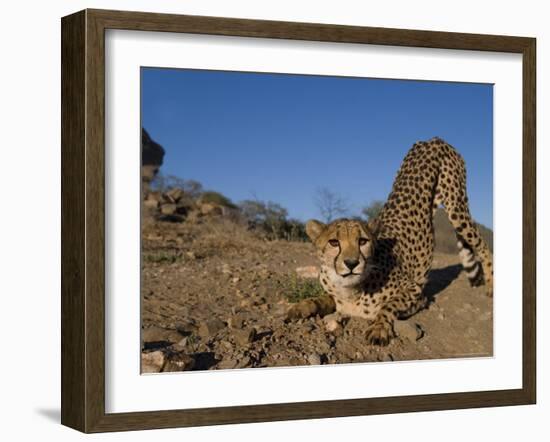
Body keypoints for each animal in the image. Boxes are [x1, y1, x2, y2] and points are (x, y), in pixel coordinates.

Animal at [288, 137, 496, 346]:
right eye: (334, 243)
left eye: (362, 241)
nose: (352, 263)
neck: (350, 290)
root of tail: (433, 139)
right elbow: (321, 299)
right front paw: (300, 306)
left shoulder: (418, 294)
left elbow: (388, 305)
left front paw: (379, 328)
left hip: (456, 205)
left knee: (483, 246)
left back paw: (491, 287)